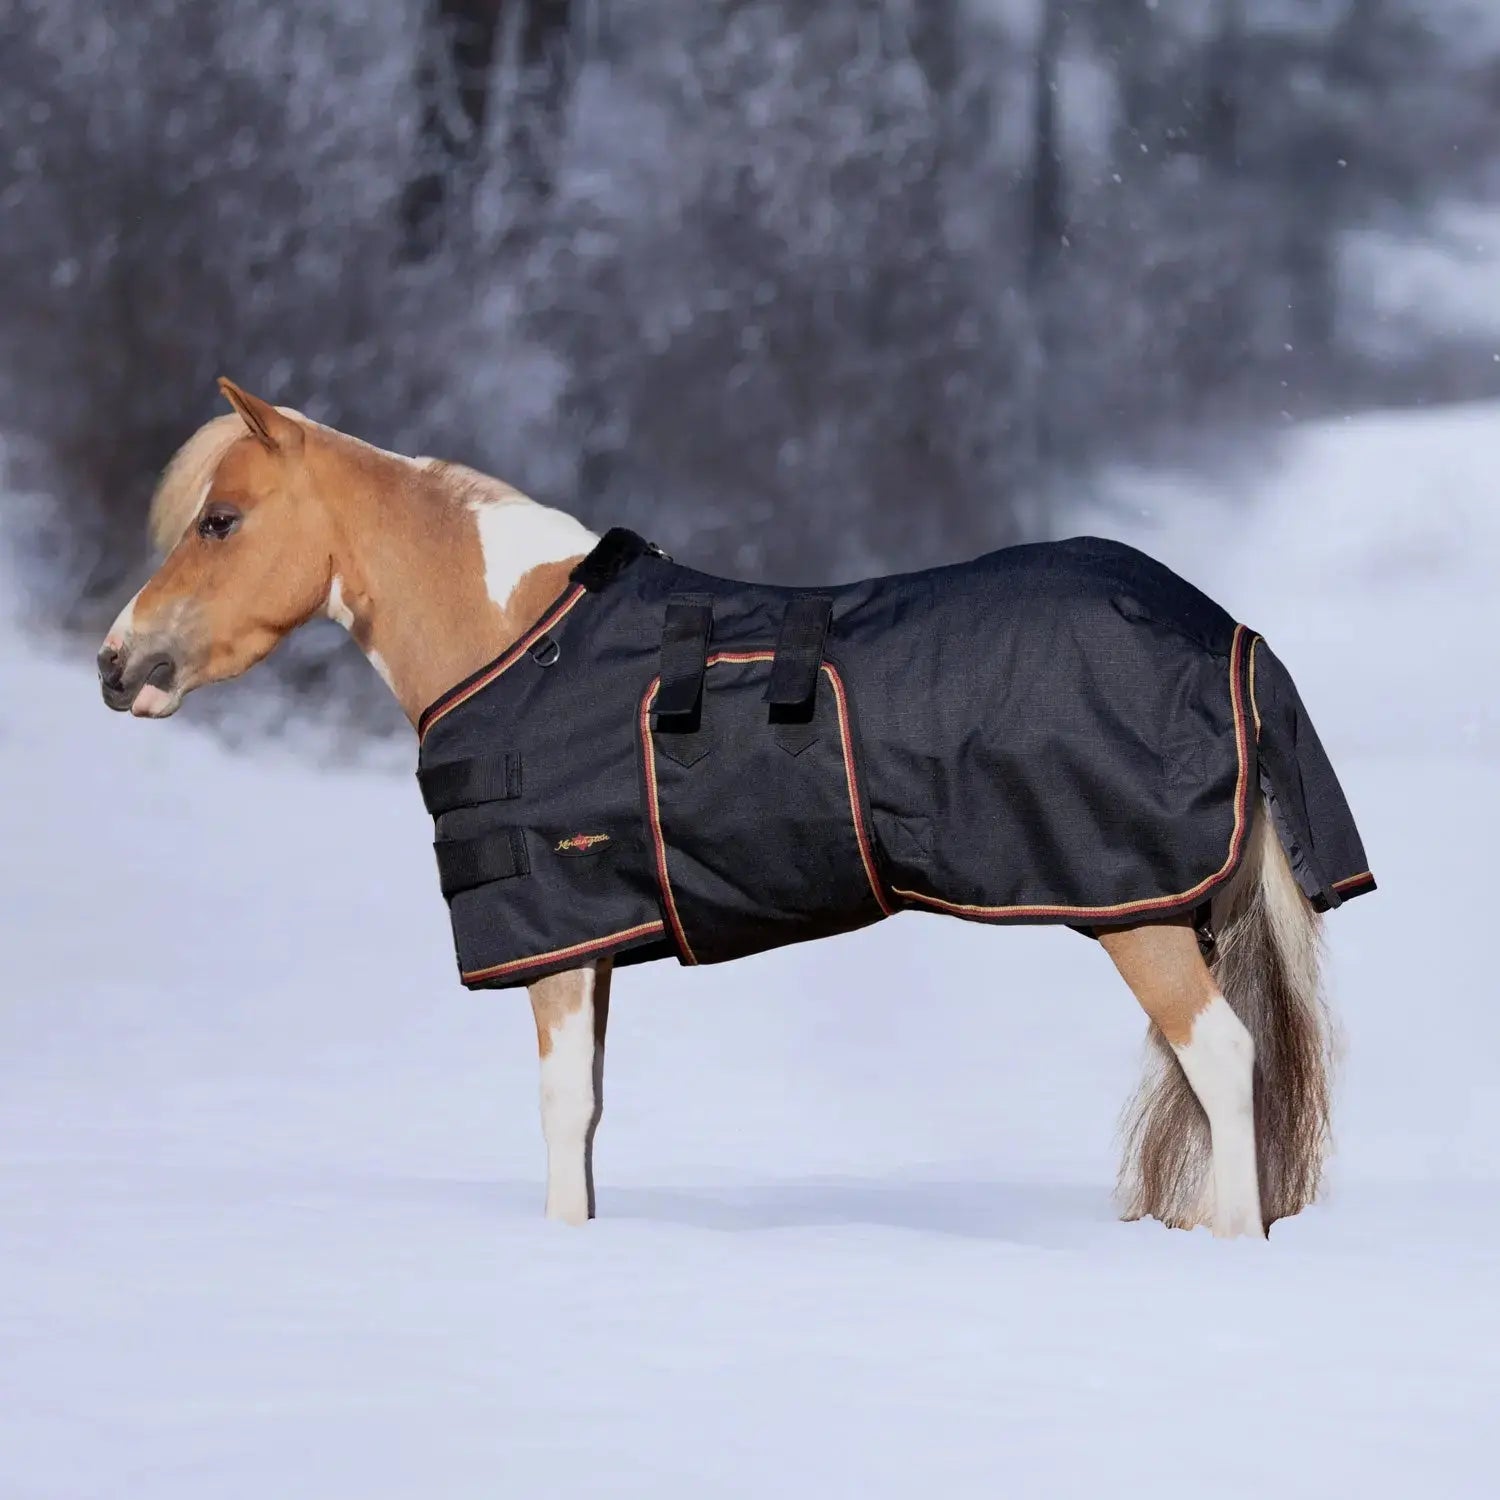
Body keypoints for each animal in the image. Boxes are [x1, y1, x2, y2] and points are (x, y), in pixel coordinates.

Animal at [98, 377, 1370, 1238]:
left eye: (221, 521)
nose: (118, 666)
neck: (523, 643)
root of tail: (1222, 630)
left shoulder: (555, 945)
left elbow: (559, 1112)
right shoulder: (596, 948)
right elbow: (590, 1116)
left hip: (1137, 914)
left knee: (1224, 1060)